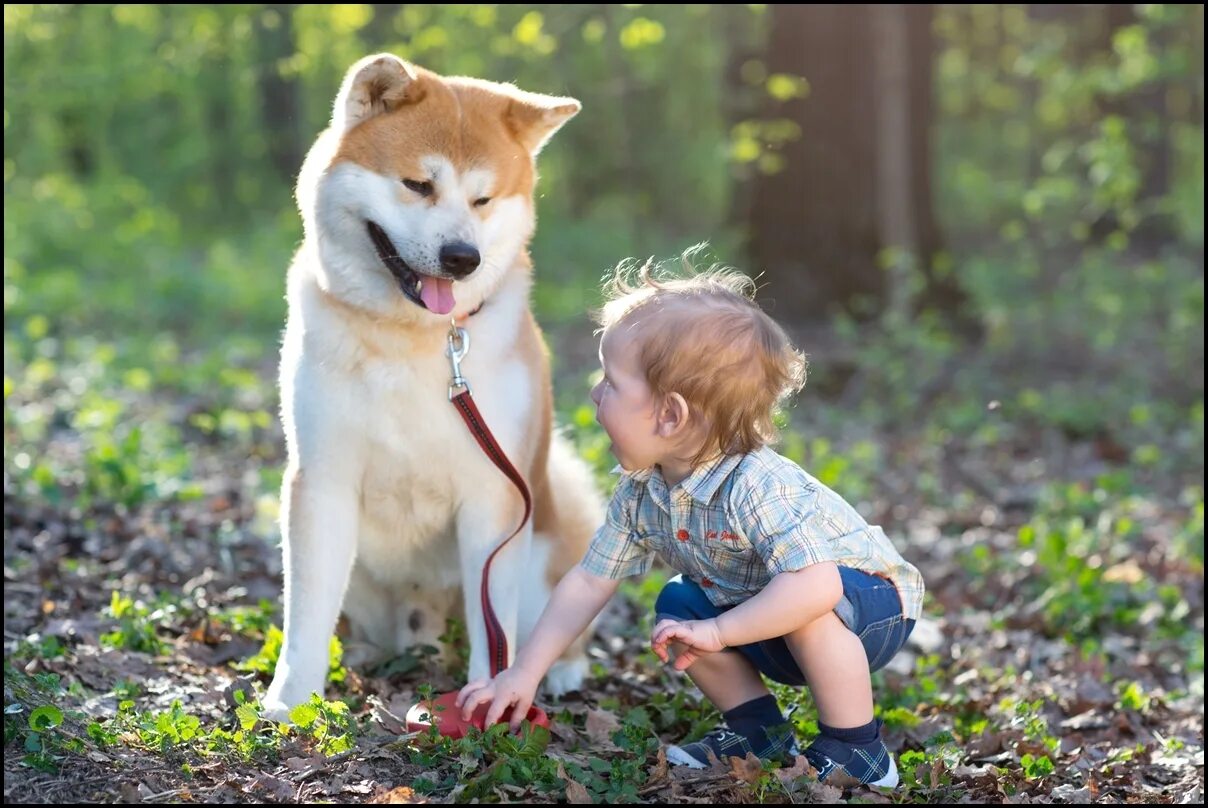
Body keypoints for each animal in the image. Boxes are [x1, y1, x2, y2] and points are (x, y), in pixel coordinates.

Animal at [265, 51, 604, 719]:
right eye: (418, 185)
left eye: (483, 198)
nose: (461, 258)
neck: (414, 340)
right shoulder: (321, 482)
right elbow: (306, 616)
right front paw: (292, 703)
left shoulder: (494, 496)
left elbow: (495, 630)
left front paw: (491, 702)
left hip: (545, 545)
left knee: (550, 630)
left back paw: (558, 673)